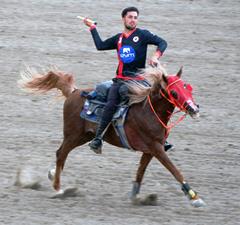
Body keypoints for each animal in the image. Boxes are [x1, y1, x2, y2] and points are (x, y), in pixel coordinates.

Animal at [18, 64, 205, 207]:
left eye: (187, 87)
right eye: (174, 93)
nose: (194, 109)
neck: (148, 112)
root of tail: (74, 92)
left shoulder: (150, 150)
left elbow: (140, 172)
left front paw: (136, 197)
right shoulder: (156, 148)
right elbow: (174, 170)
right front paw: (194, 197)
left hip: (84, 136)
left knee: (61, 155)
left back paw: (52, 175)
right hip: (72, 135)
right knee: (61, 153)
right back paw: (58, 188)